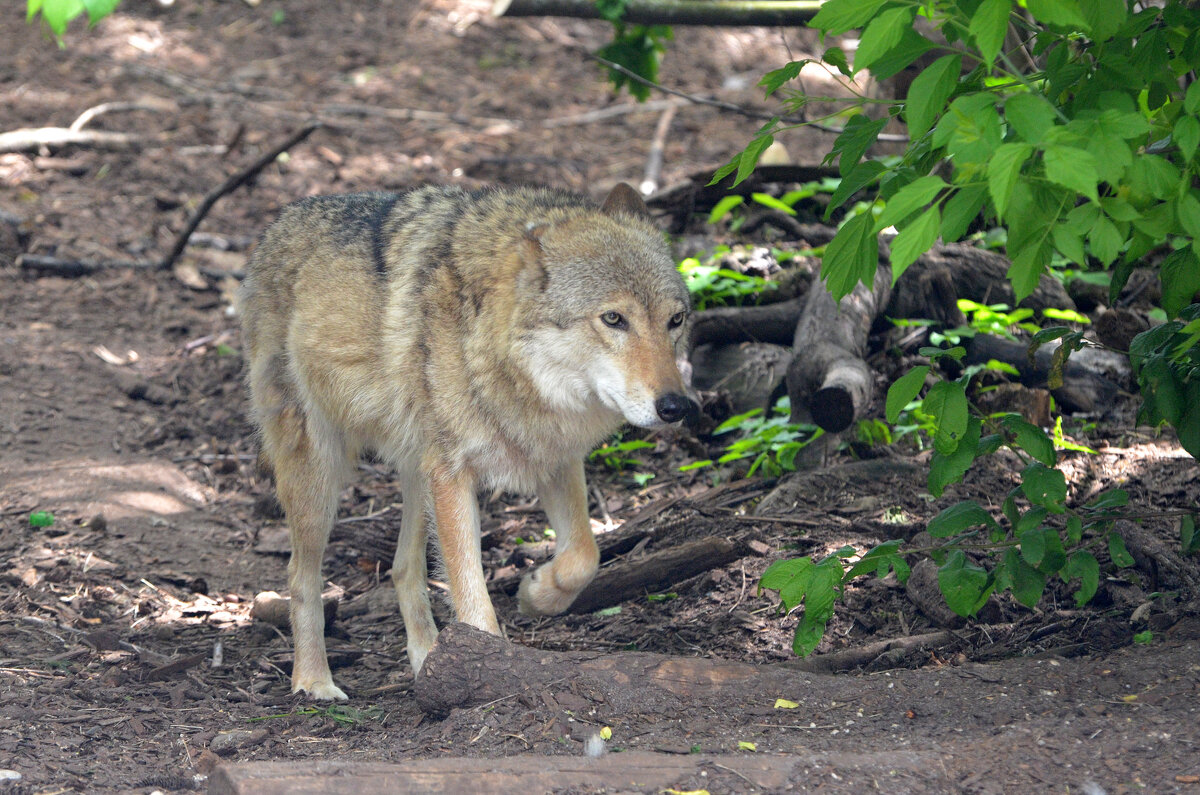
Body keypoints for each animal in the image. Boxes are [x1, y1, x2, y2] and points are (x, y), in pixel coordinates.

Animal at [238, 183, 691, 701]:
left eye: (676, 319)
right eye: (614, 319)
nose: (676, 406)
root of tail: (279, 224)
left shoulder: (554, 458)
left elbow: (584, 556)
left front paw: (536, 592)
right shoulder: (453, 473)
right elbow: (471, 591)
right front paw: (485, 669)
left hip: (418, 470)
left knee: (403, 568)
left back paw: (426, 658)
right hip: (322, 479)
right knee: (301, 576)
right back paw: (314, 680)